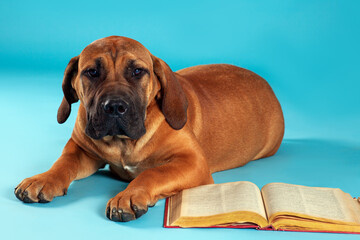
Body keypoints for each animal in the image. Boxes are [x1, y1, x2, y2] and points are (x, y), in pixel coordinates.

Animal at [14, 35, 284, 221]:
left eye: (137, 71)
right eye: (91, 72)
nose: (115, 107)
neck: (123, 142)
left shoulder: (192, 161)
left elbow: (153, 173)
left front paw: (128, 196)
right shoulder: (81, 149)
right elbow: (63, 163)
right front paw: (43, 178)